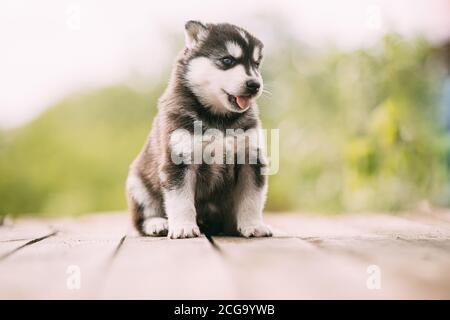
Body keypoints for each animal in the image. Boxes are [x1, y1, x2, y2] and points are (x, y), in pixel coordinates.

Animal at [125, 20, 270, 238]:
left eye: (256, 64)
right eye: (227, 61)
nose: (255, 85)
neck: (219, 120)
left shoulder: (250, 158)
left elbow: (251, 199)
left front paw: (254, 225)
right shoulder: (178, 159)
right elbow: (181, 201)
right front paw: (184, 227)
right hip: (137, 185)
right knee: (141, 218)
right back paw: (158, 224)